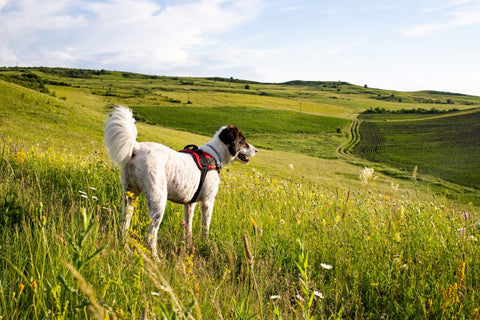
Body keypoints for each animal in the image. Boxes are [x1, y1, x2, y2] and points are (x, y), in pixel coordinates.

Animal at [103, 106, 256, 256]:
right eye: (243, 141)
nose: (256, 150)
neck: (213, 155)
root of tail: (136, 148)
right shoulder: (208, 201)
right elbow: (205, 227)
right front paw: (205, 243)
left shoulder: (189, 204)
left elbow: (188, 227)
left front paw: (188, 245)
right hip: (158, 200)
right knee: (150, 236)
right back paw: (155, 258)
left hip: (129, 196)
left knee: (124, 227)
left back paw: (126, 248)